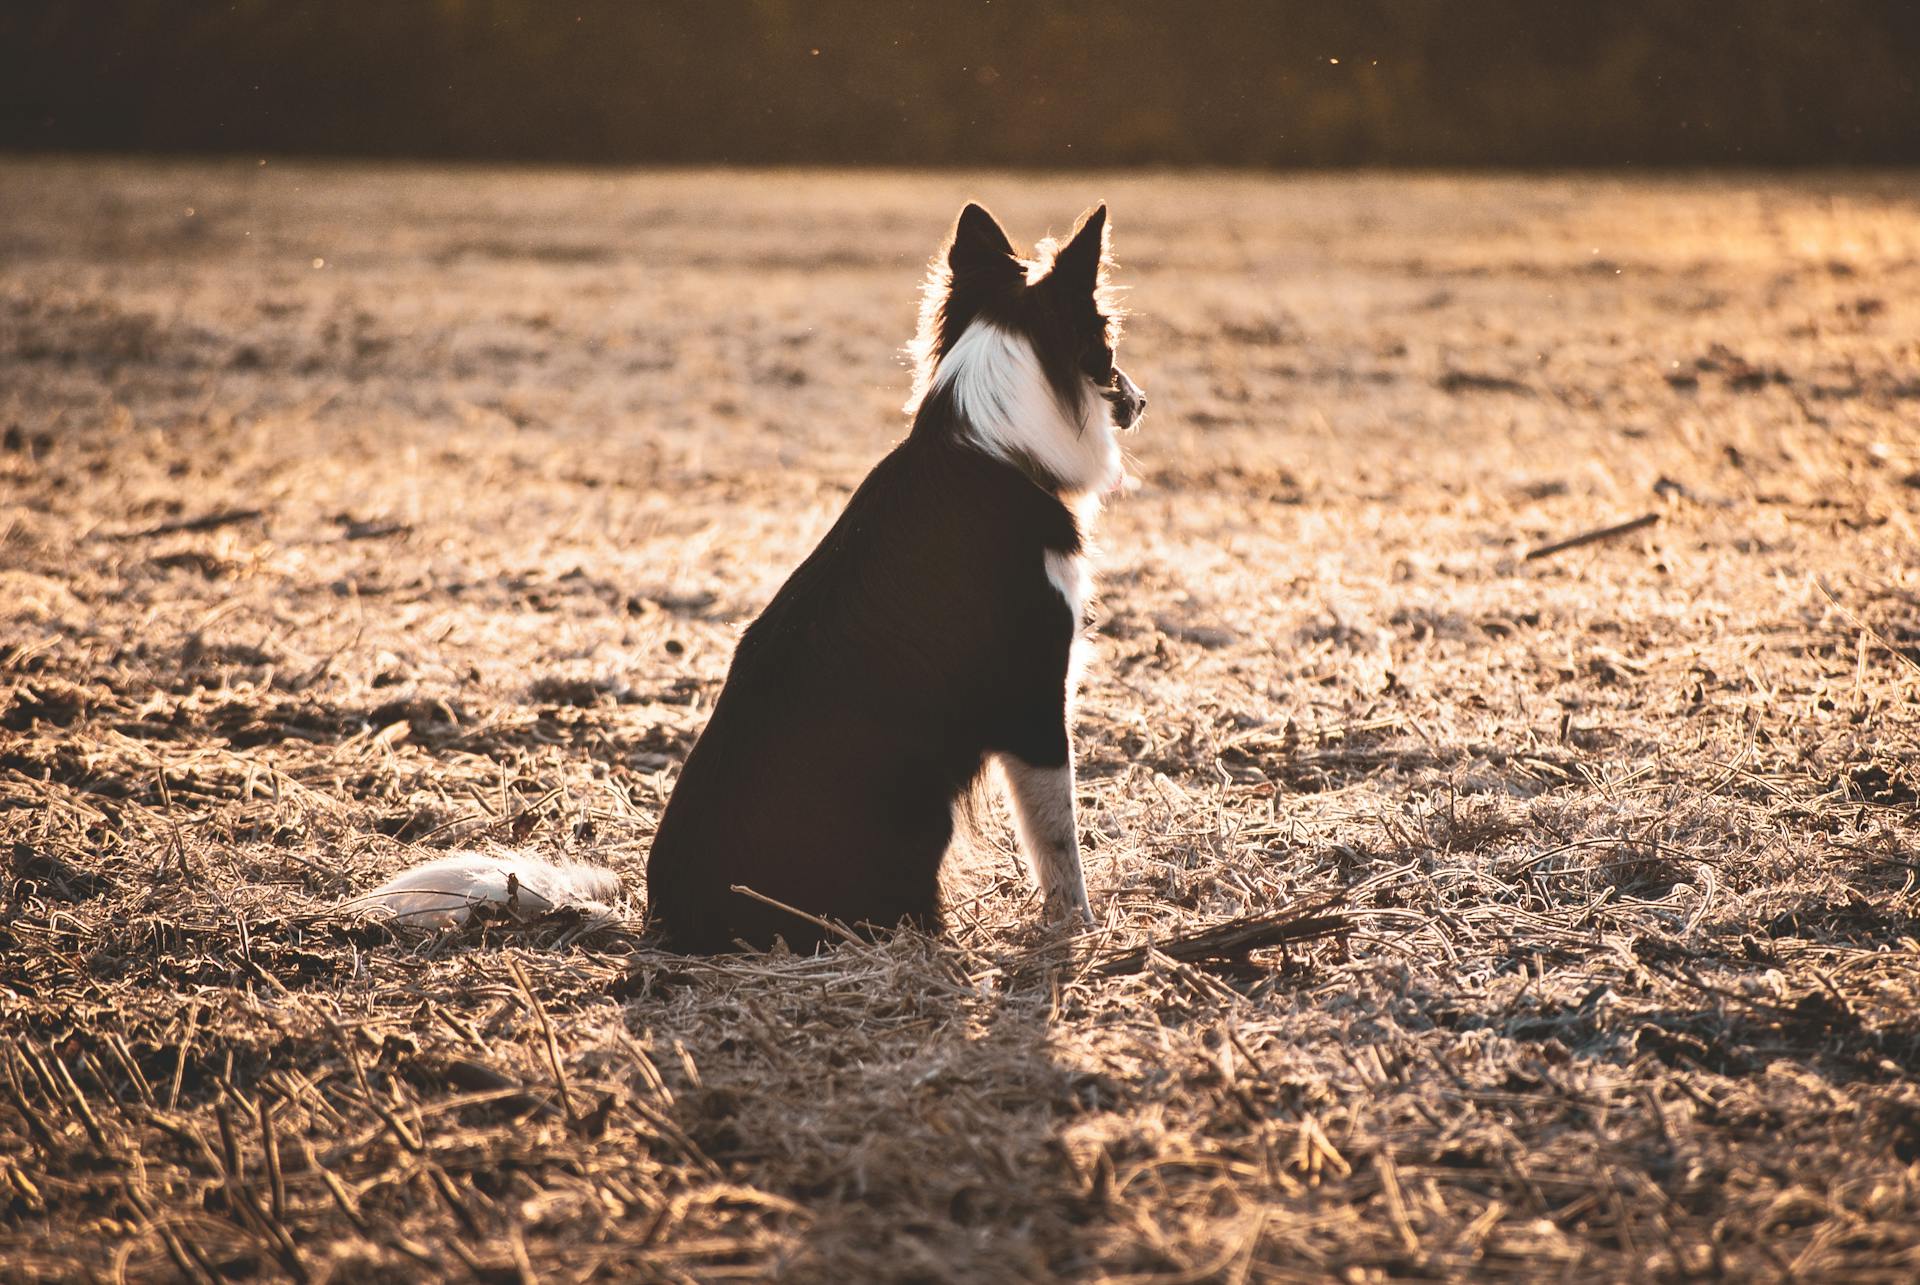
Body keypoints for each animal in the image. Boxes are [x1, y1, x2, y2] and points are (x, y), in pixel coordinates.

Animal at [645, 202, 1144, 952]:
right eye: (1106, 345)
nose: (1142, 402)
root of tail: (666, 920)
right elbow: (1058, 841)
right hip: (920, 815)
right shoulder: (1033, 701)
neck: (995, 447)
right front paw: (1077, 929)